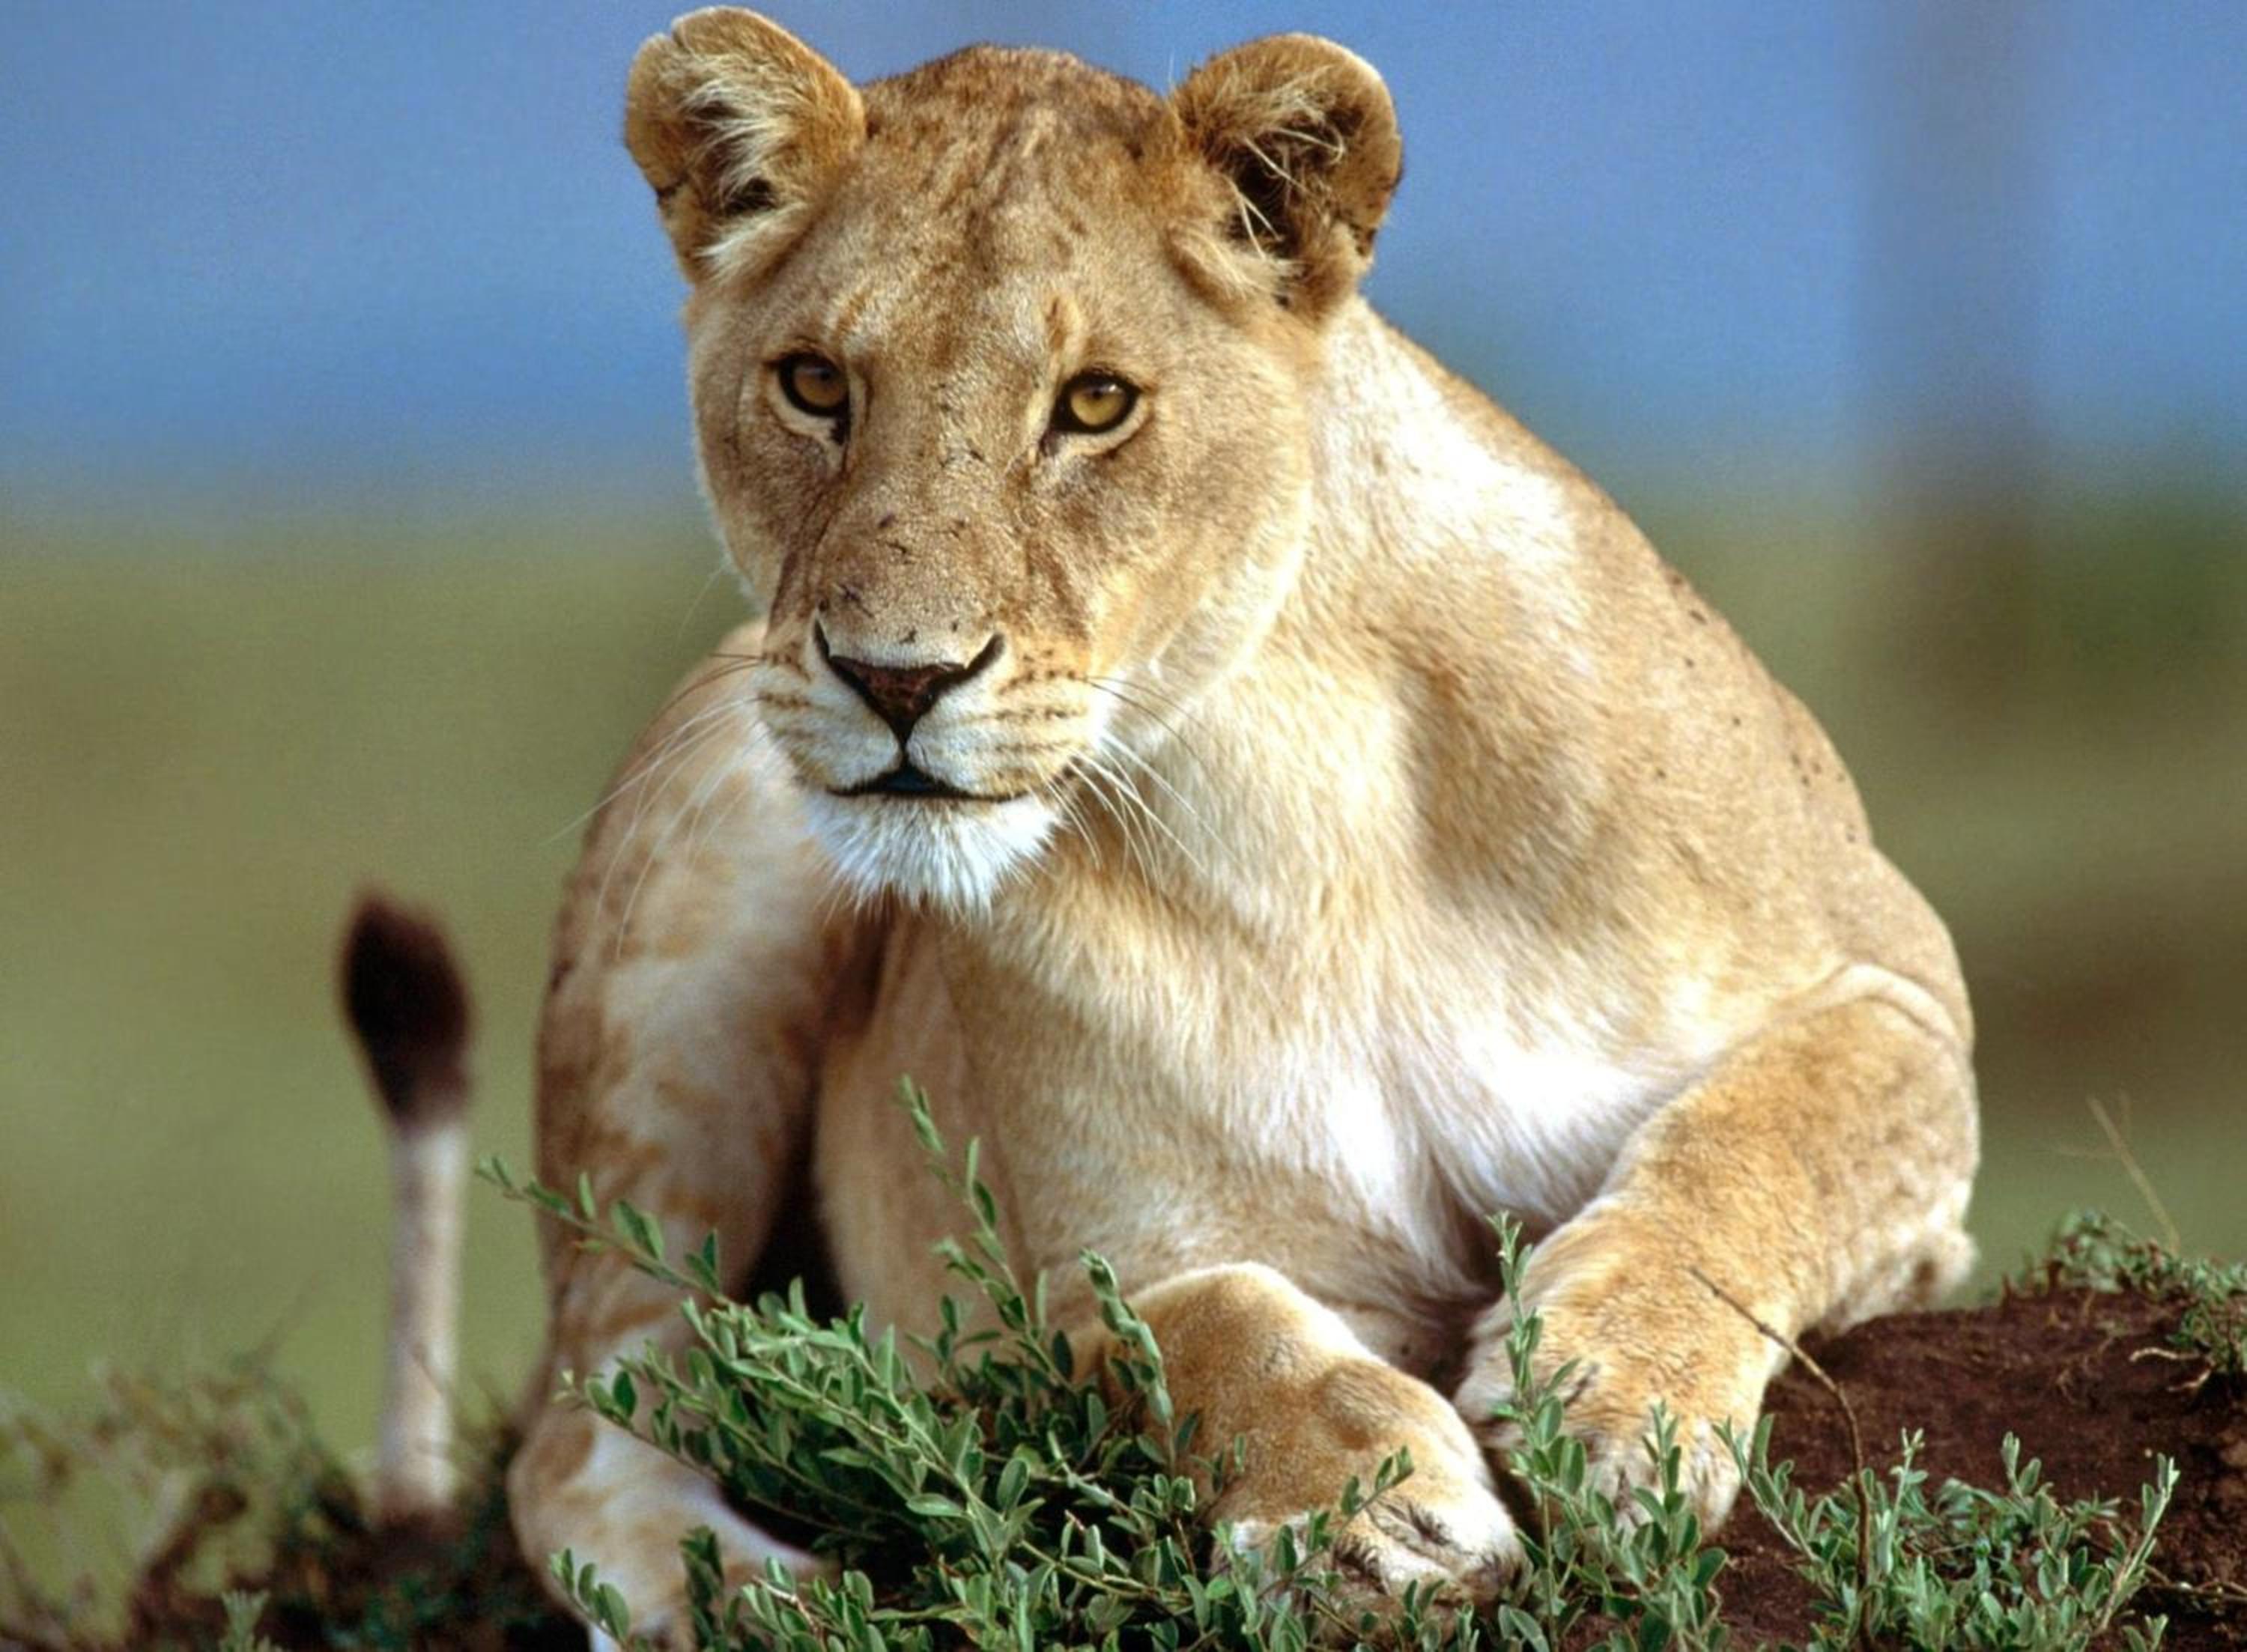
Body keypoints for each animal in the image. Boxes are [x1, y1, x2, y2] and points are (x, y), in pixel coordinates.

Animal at [508, 11, 1979, 1642]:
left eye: (1094, 404)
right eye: (816, 384)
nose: (898, 677)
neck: (1301, 790)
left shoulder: (1899, 986)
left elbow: (1771, 1136)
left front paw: (1614, 1387)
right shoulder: (1078, 1271)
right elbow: (1189, 1327)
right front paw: (1368, 1514)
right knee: (580, 1430)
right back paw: (788, 1601)